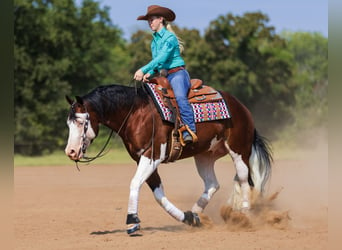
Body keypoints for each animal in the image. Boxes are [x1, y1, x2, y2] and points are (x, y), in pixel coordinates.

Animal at [64, 79, 272, 235]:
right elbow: (158, 194)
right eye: (68, 123)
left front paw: (132, 220)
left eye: (81, 122)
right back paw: (196, 214)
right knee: (212, 184)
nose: (70, 152)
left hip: (239, 152)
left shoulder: (152, 155)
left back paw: (244, 217)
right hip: (205, 155)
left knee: (244, 181)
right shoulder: (143, 159)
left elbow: (135, 183)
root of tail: (241, 108)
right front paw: (188, 218)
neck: (136, 114)